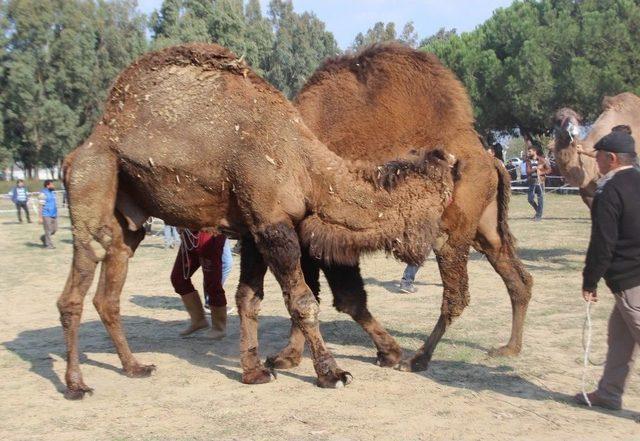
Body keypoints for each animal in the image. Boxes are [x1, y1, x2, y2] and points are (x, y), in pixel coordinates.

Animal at [57, 43, 458, 398]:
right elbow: (303, 301)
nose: (446, 237)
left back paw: (135, 367)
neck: (306, 167)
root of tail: (84, 145)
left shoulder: (252, 230)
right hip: (92, 178)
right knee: (78, 282)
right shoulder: (270, 221)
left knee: (111, 284)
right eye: (443, 201)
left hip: (128, 213)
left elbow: (248, 298)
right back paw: (76, 385)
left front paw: (253, 371)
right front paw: (331, 373)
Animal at [262, 42, 532, 372]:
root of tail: (490, 159)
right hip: (485, 228)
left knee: (457, 295)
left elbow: (338, 298)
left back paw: (419, 358)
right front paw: (288, 355)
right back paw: (510, 348)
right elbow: (308, 294)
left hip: (453, 231)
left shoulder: (324, 238)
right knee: (517, 277)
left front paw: (386, 353)